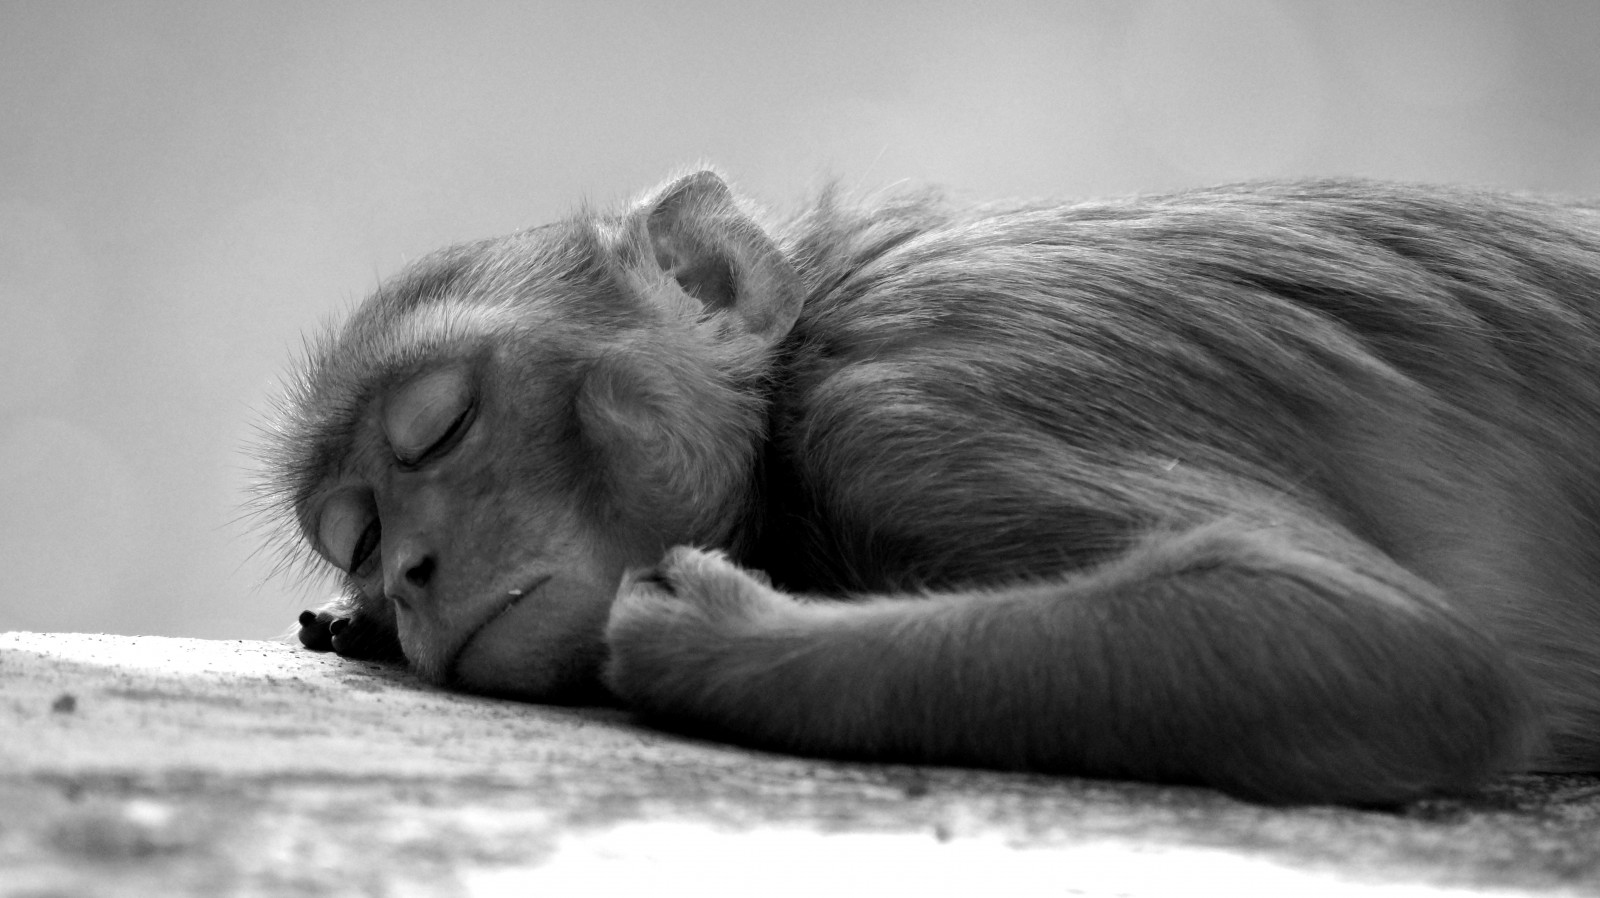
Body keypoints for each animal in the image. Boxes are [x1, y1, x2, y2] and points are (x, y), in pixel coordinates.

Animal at [260, 169, 1600, 806]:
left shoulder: (916, 404)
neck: (803, 368)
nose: (413, 576)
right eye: (360, 535)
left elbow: (1386, 644)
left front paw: (721, 638)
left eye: (440, 427)